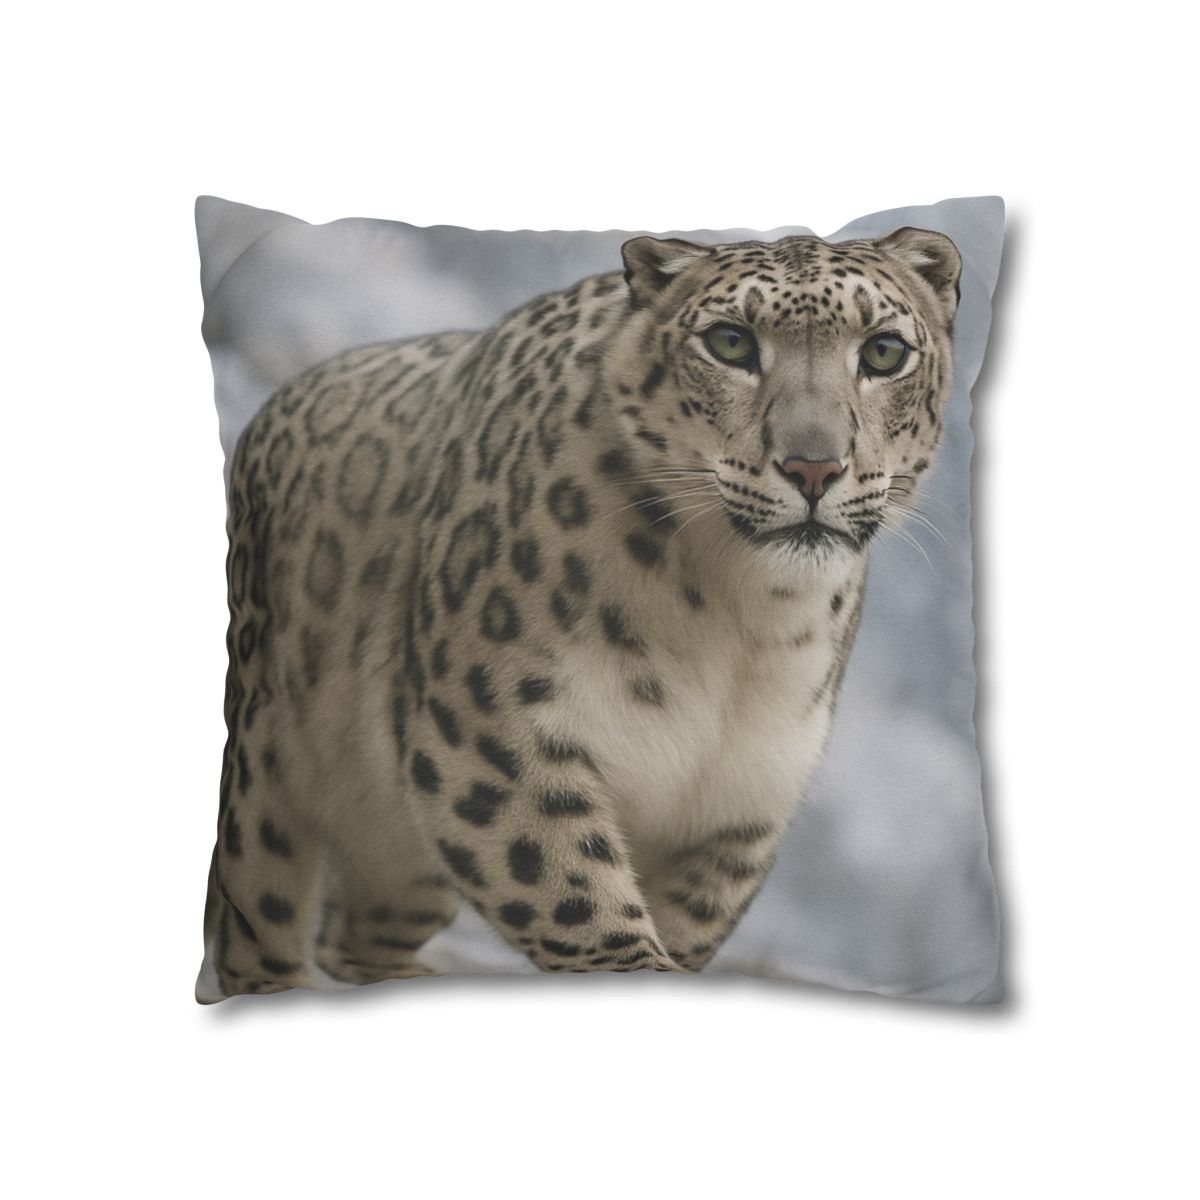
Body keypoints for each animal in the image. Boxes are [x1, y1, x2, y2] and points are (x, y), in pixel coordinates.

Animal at [196, 224, 962, 1000]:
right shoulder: (491, 731)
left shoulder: (742, 798)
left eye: (884, 352)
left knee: (359, 934)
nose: (814, 467)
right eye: (731, 343)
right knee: (256, 923)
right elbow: (574, 892)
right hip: (263, 777)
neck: (740, 620)